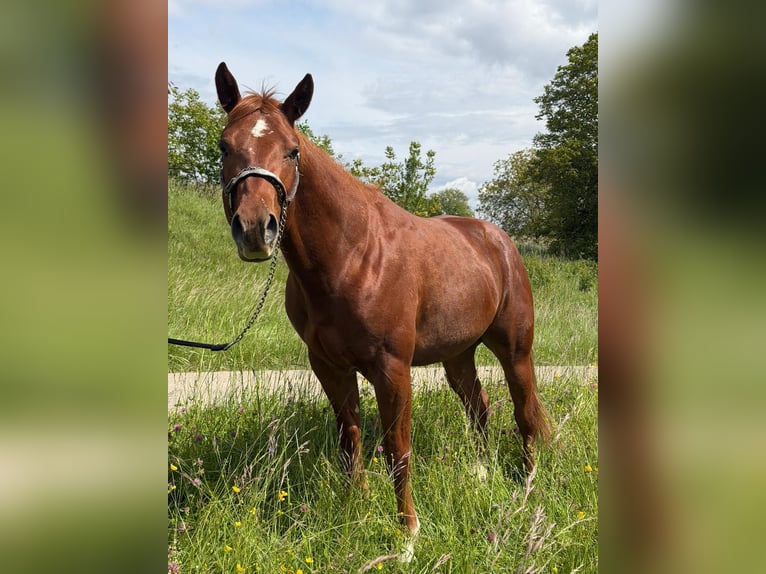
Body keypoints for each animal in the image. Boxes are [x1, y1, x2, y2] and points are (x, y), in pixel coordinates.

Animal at [214, 63, 550, 552]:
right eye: (224, 146)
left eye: (292, 151)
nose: (256, 229)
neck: (352, 256)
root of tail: (499, 239)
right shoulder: (329, 366)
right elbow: (349, 438)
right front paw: (357, 507)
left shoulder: (392, 368)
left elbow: (397, 448)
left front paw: (407, 534)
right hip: (458, 355)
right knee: (479, 406)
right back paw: (482, 472)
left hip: (514, 349)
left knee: (525, 411)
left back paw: (527, 483)